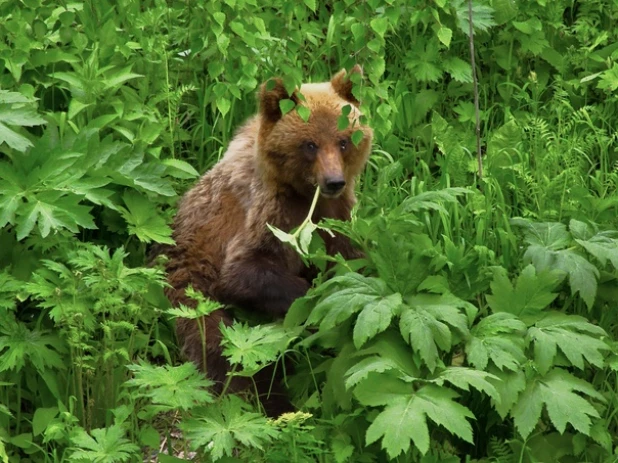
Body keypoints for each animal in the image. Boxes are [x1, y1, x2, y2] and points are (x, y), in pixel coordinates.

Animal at [164, 65, 370, 416]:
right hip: (193, 284)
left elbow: (352, 258)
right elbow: (246, 270)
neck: (306, 195)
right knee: (220, 348)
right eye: (310, 144)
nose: (334, 181)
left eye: (343, 141)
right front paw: (312, 299)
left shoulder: (337, 215)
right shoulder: (268, 213)